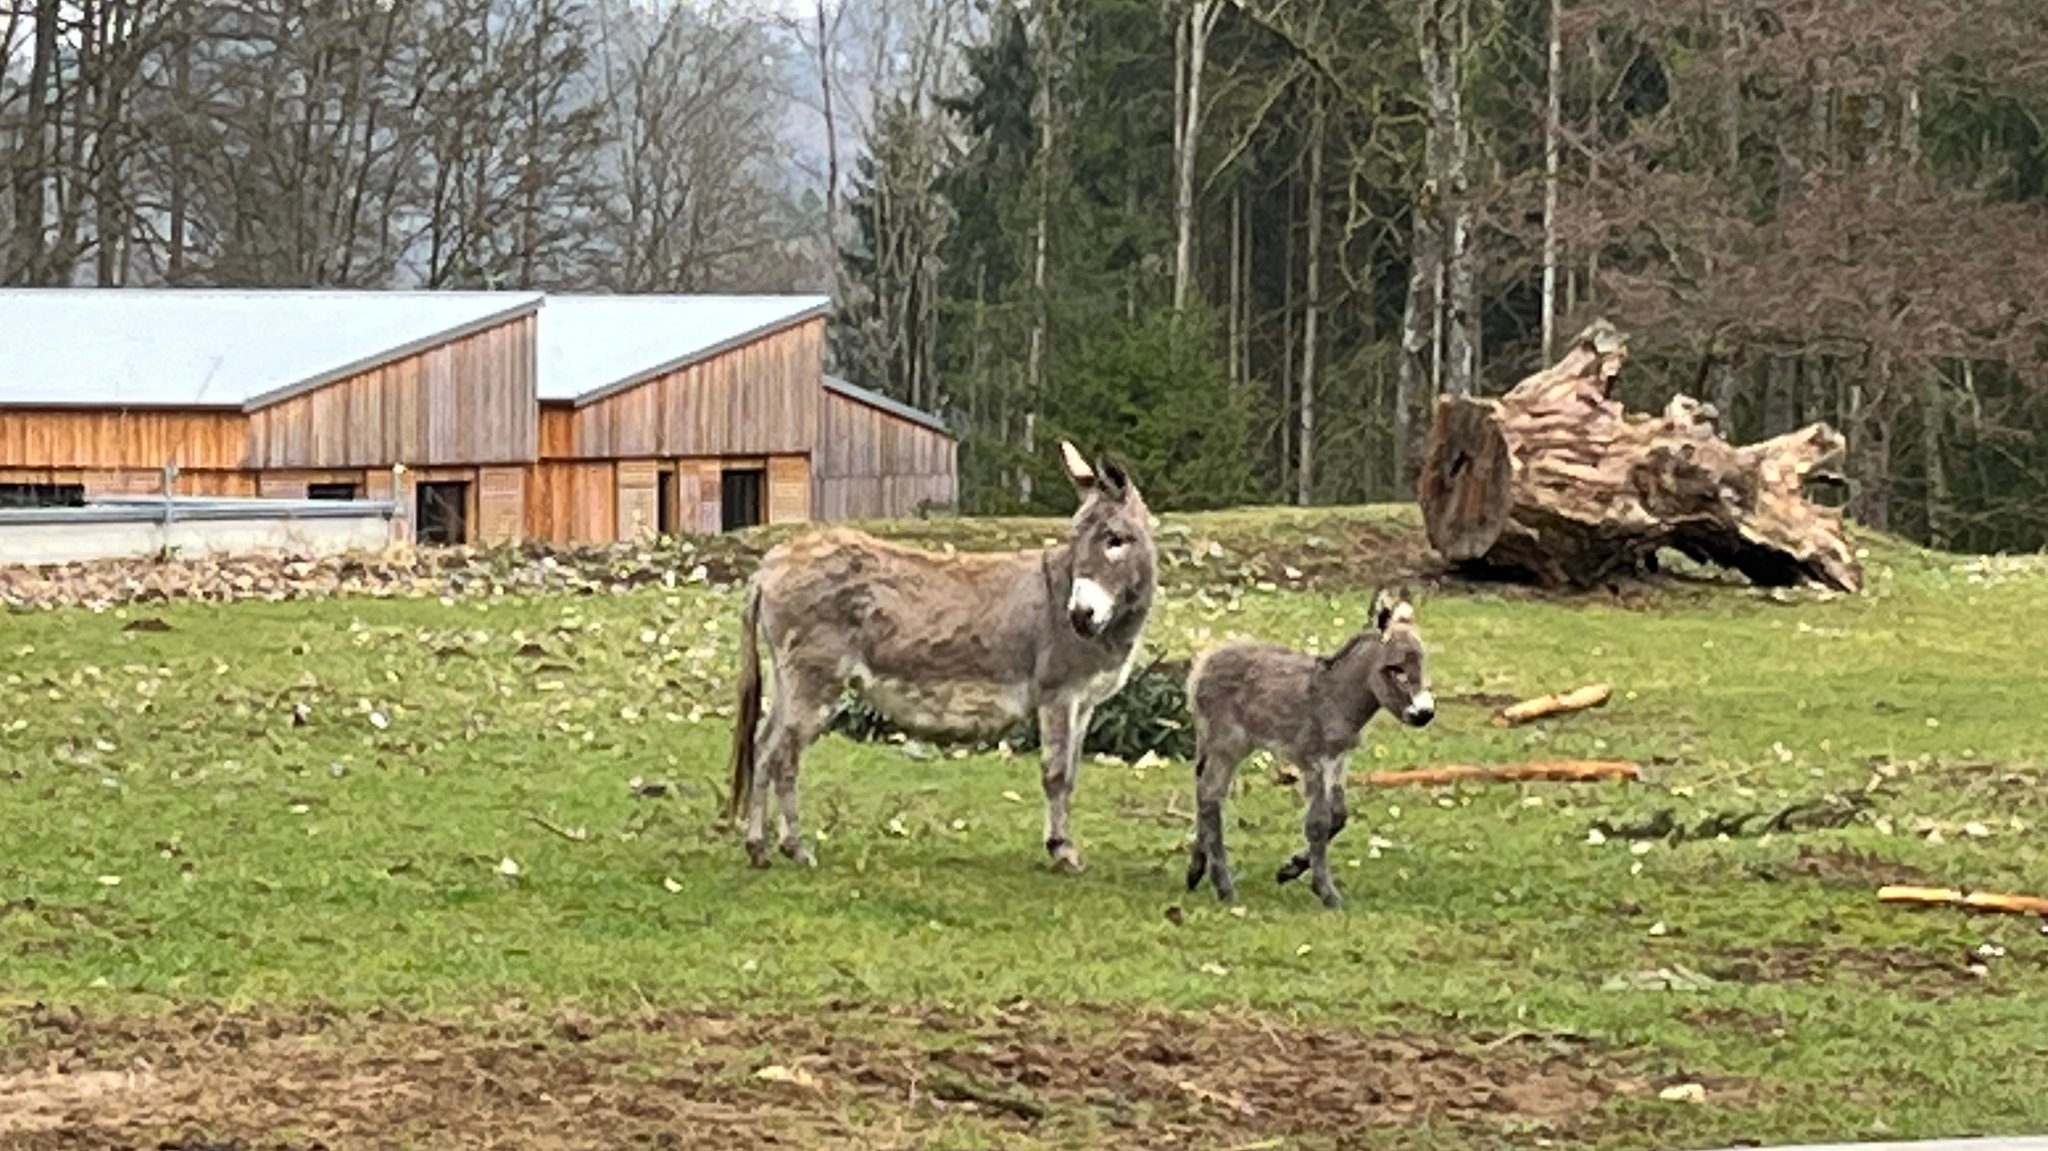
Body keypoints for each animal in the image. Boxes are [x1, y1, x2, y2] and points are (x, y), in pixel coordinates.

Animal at [1187, 589, 1441, 905]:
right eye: (1395, 670)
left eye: (1422, 663)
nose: (1425, 713)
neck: (1335, 697)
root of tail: (1205, 662)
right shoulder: (1314, 760)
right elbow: (1318, 823)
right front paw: (1327, 893)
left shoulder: (1340, 760)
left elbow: (1339, 817)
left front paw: (1290, 868)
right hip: (1227, 743)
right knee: (1210, 796)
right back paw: (1224, 888)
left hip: (1218, 744)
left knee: (1202, 789)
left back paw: (1197, 869)